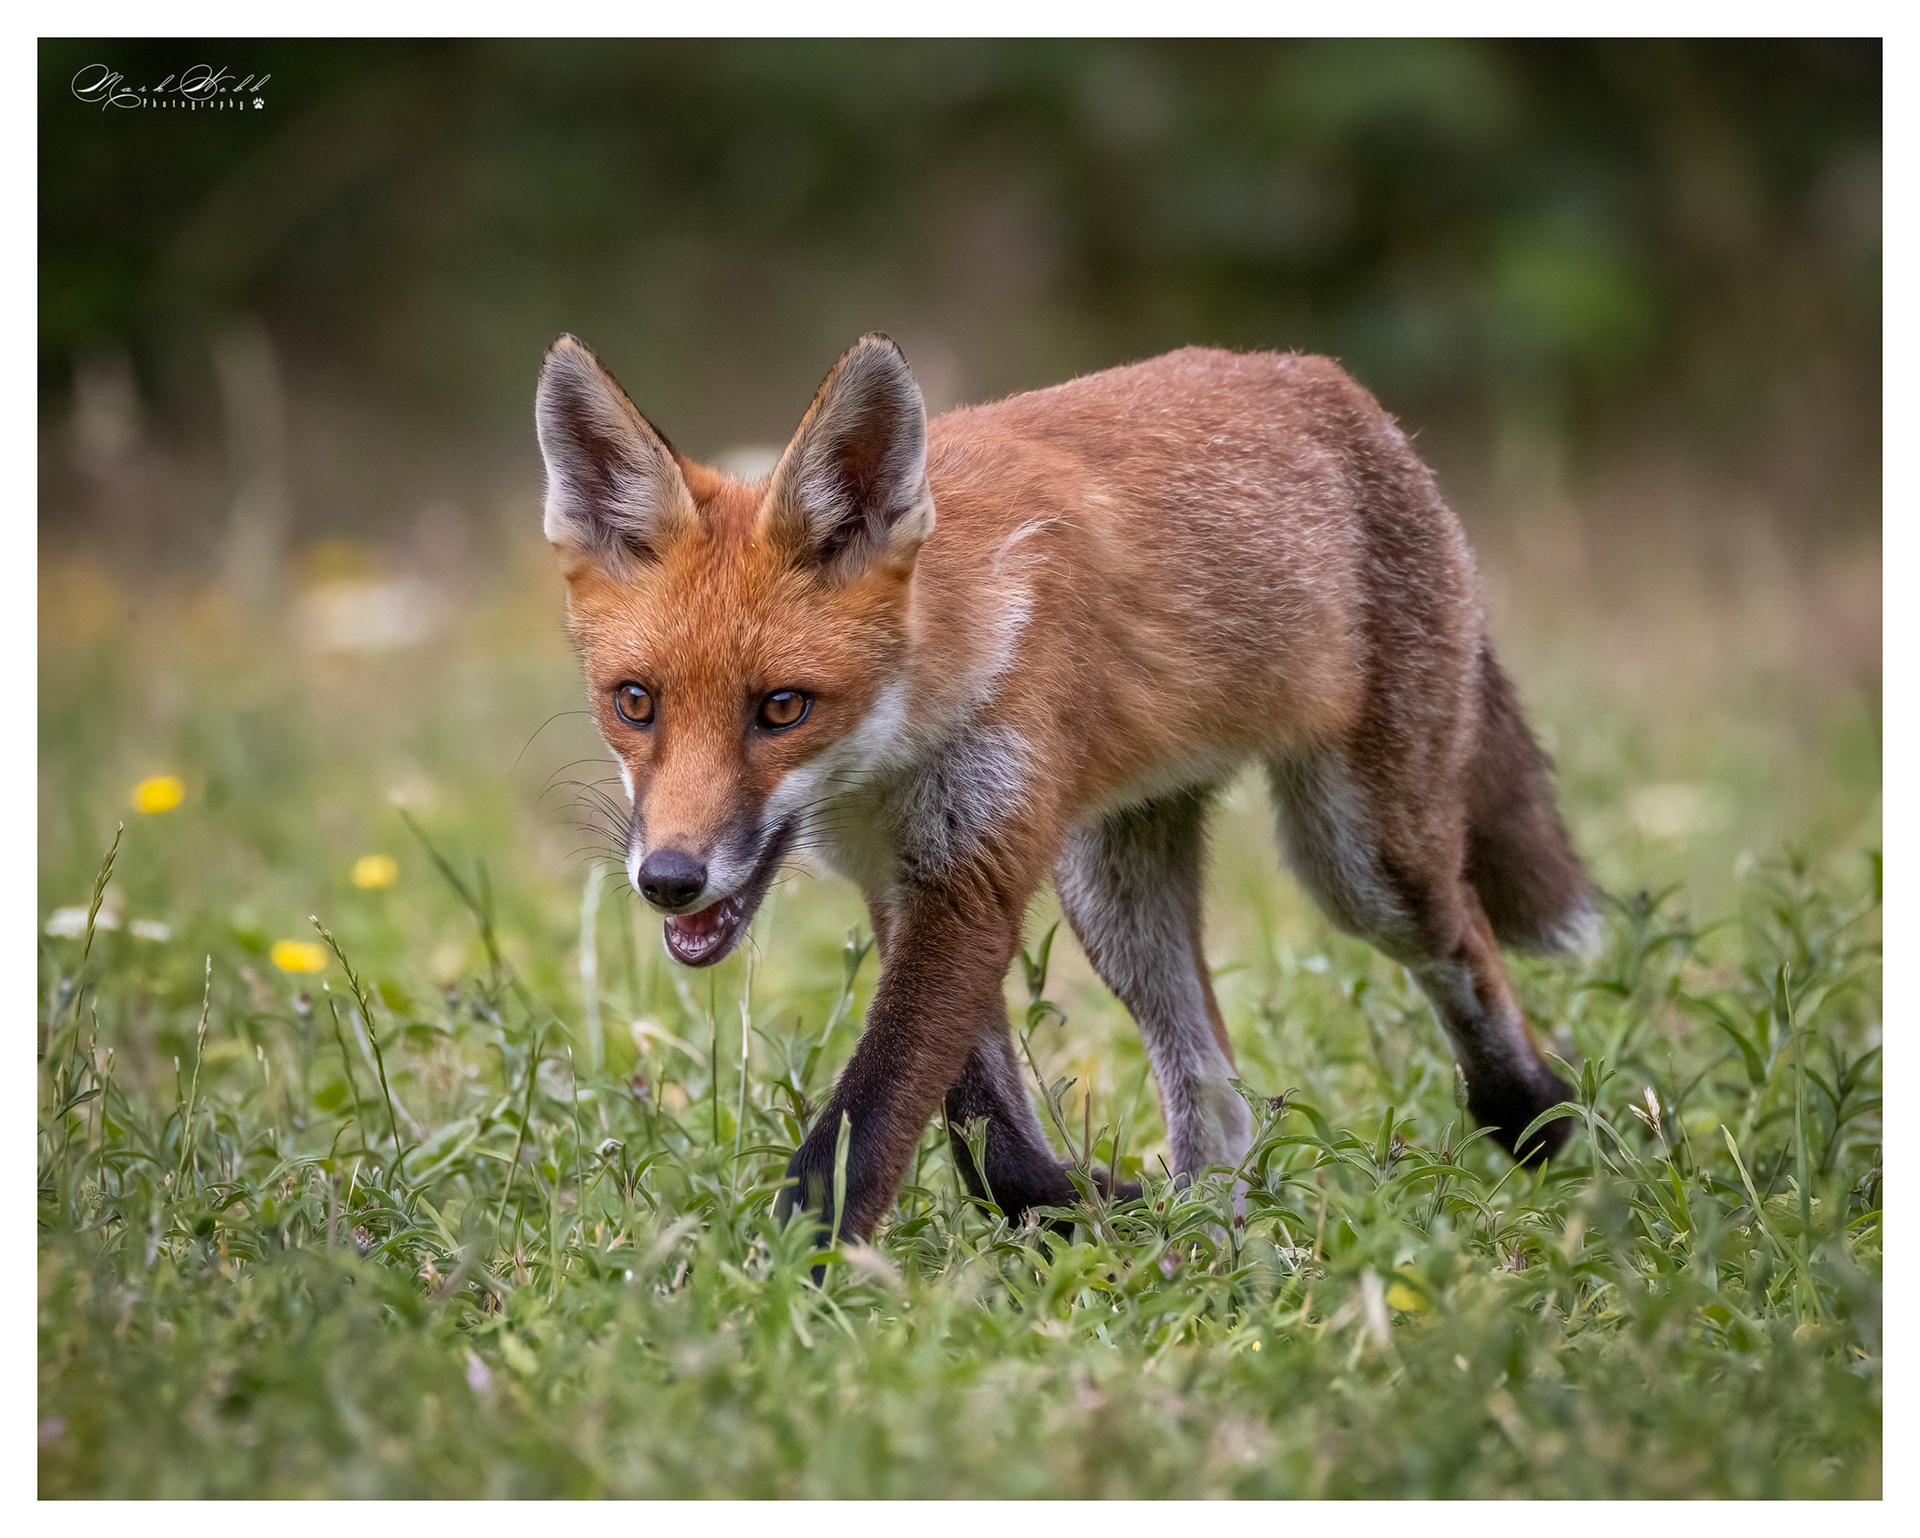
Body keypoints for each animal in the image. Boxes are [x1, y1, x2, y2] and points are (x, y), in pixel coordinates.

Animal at [534, 330, 1594, 1244]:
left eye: (783, 709)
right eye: (635, 703)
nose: (670, 879)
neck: (903, 743)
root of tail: (1330, 383)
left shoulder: (971, 872)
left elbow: (864, 1127)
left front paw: (788, 1277)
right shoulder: (900, 877)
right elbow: (983, 1135)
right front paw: (1081, 1205)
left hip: (1357, 864)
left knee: (1464, 936)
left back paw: (1535, 1113)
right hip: (1114, 900)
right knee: (1217, 1094)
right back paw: (1203, 1239)